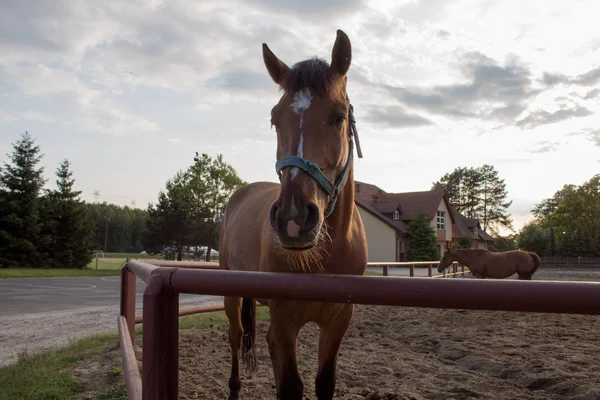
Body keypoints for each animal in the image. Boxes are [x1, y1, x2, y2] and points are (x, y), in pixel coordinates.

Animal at [218, 30, 368, 400]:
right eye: (275, 119)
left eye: (339, 117)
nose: (294, 219)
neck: (323, 258)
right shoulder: (284, 320)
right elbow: (290, 386)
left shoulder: (338, 320)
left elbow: (323, 382)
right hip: (231, 295)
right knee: (234, 337)